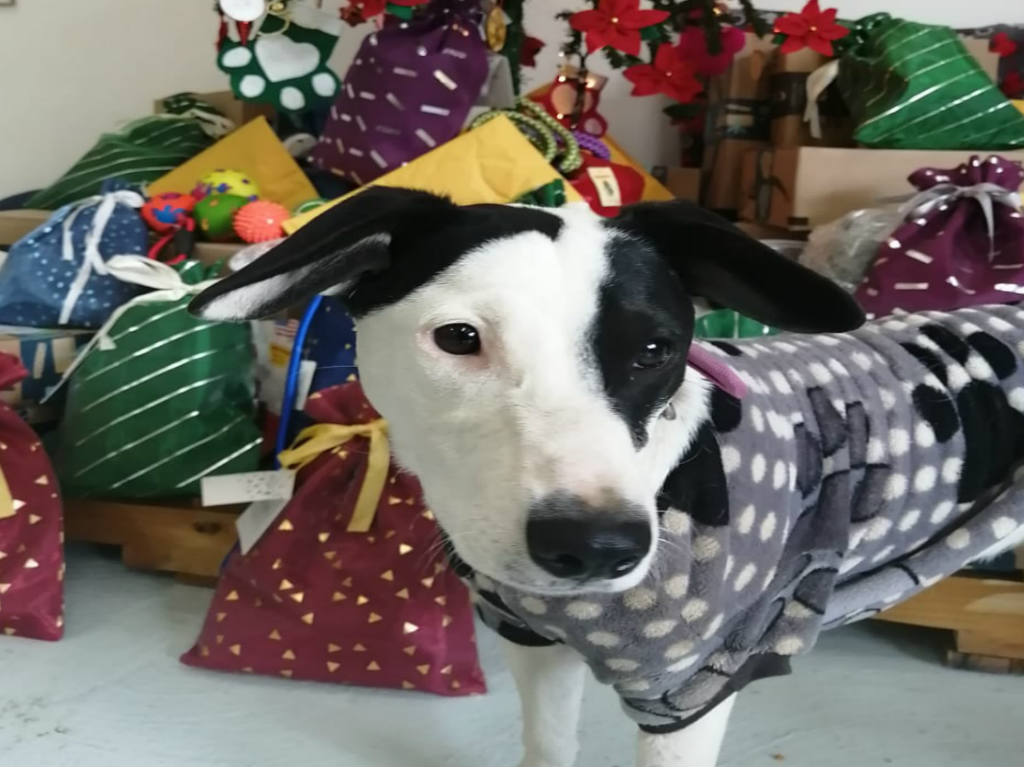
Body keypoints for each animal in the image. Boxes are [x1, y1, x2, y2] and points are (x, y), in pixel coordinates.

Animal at [190, 190, 1024, 765]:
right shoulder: (536, 644)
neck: (663, 474)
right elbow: (548, 748)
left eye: (657, 348)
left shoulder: (687, 693)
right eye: (459, 338)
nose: (596, 546)